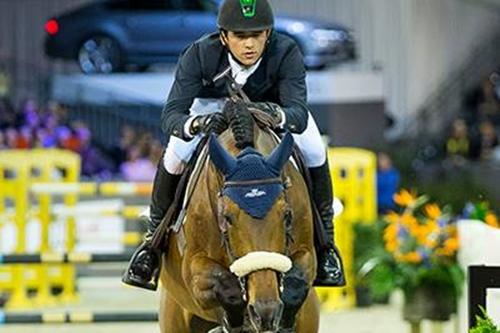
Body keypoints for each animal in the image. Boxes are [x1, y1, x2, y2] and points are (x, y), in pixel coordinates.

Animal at [158, 122, 318, 332]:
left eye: (287, 215)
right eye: (227, 217)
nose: (265, 311)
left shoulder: (307, 254)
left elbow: (296, 283)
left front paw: (281, 320)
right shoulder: (193, 269)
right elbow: (226, 285)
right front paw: (235, 321)